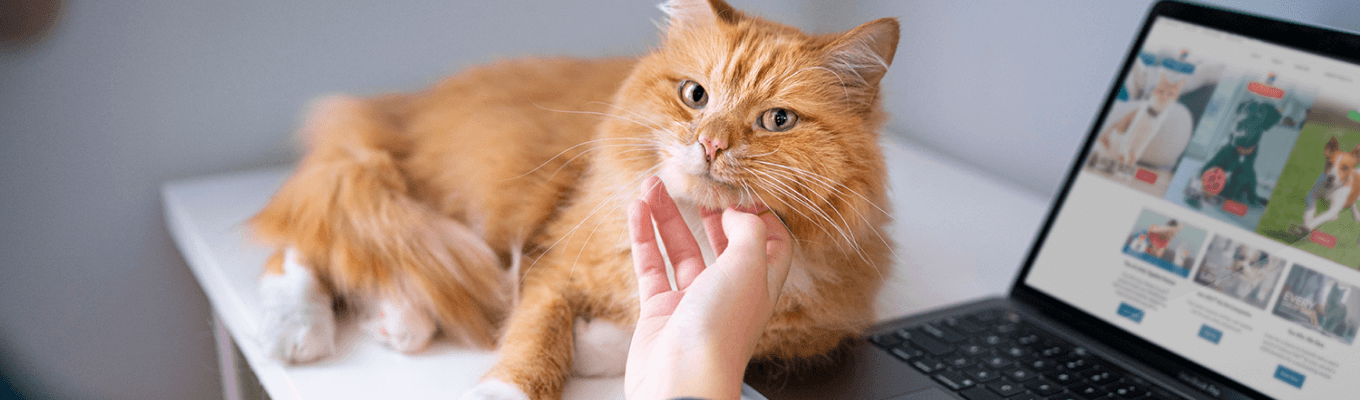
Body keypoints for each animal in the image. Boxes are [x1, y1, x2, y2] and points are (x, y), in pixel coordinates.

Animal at [250, 0, 897, 397]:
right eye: (695, 95)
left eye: (777, 120)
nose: (710, 143)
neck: (696, 224)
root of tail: (400, 106)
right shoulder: (555, 262)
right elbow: (533, 340)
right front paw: (512, 384)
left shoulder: (815, 323)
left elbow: (651, 330)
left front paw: (592, 344)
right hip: (459, 200)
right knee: (312, 240)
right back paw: (294, 328)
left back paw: (398, 318)